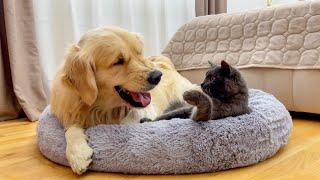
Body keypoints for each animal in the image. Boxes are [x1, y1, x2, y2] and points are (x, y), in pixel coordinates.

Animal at [50, 26, 195, 174]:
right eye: (118, 61)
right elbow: (71, 129)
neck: (101, 110)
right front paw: (77, 153)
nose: (157, 76)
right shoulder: (68, 113)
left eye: (139, 53)